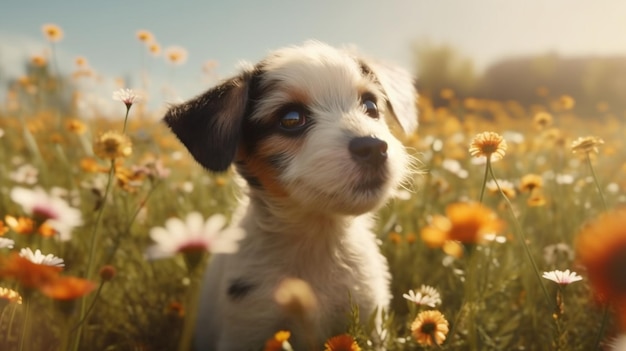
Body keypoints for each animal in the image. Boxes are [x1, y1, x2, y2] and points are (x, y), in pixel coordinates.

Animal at [163, 40, 416, 350]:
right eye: (291, 119)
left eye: (370, 106)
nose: (373, 147)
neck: (318, 240)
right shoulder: (247, 328)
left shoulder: (370, 318)